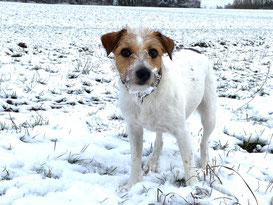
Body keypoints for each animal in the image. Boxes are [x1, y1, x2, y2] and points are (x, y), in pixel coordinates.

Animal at [101, 28, 216, 190]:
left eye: (154, 52)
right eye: (125, 52)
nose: (143, 72)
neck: (145, 95)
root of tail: (195, 50)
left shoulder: (182, 131)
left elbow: (188, 163)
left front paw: (193, 188)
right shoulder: (134, 127)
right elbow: (135, 159)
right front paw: (132, 184)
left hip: (209, 114)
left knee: (204, 142)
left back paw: (205, 164)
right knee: (159, 139)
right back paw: (153, 160)